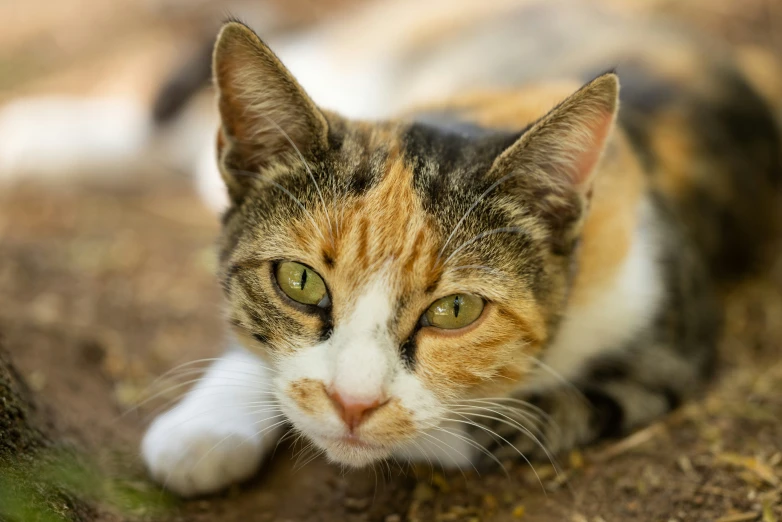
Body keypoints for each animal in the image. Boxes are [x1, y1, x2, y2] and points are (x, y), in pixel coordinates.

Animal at [141, 1, 782, 496]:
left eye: (455, 310)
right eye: (299, 281)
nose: (351, 403)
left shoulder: (662, 352)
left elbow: (486, 428)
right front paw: (206, 424)